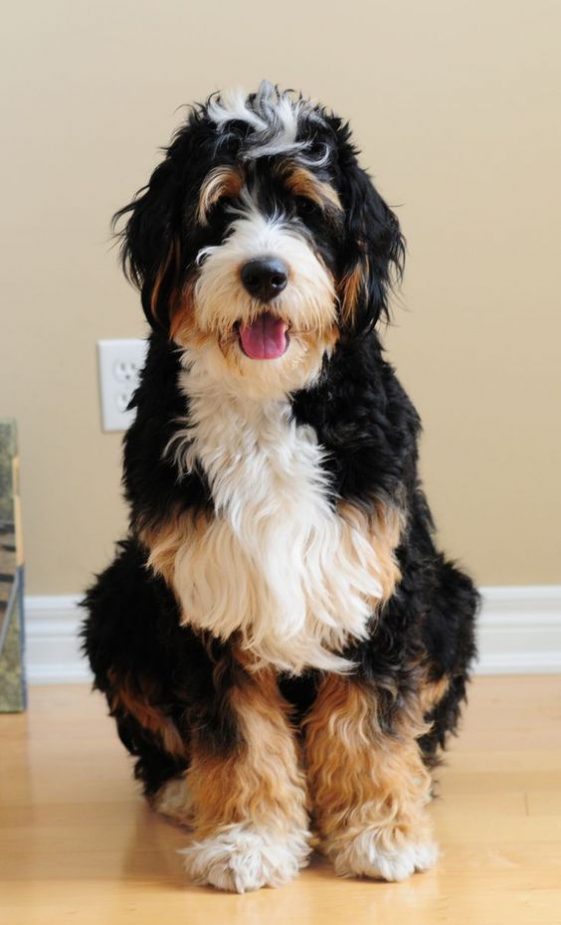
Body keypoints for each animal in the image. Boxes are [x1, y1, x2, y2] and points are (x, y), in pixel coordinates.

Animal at [82, 83, 476, 892]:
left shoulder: (375, 575)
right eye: (219, 207)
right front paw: (247, 838)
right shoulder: (206, 590)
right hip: (116, 598)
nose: (264, 273)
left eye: (305, 208)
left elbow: (370, 720)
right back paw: (182, 789)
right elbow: (236, 733)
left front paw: (379, 833)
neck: (268, 403)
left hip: (453, 596)